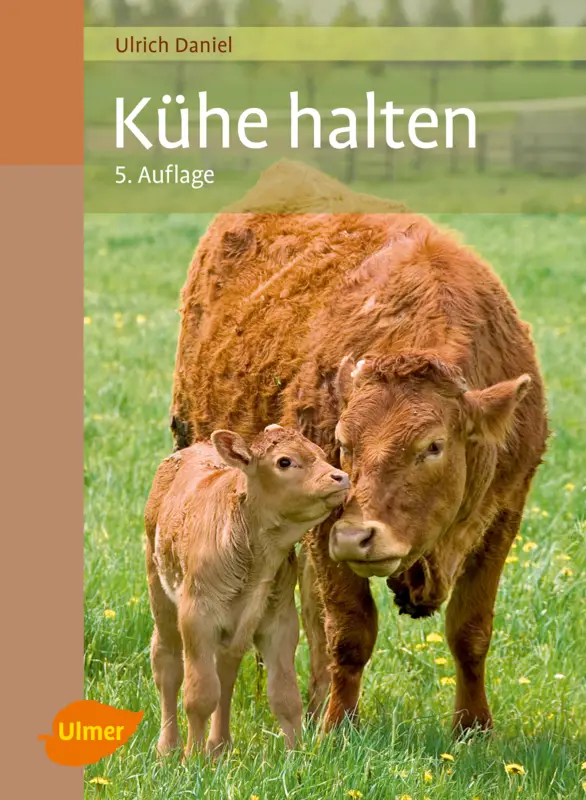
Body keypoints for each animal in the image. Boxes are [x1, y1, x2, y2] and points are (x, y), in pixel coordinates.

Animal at [145, 424, 349, 756]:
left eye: (320, 453)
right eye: (284, 461)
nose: (340, 477)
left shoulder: (280, 622)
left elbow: (285, 697)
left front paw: (296, 757)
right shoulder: (197, 619)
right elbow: (200, 695)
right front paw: (192, 759)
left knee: (226, 671)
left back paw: (219, 746)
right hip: (160, 595)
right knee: (167, 663)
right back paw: (169, 749)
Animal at [169, 168, 548, 734]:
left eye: (433, 446)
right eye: (344, 443)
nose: (356, 537)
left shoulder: (503, 515)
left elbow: (470, 630)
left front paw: (474, 726)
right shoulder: (326, 521)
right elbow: (349, 632)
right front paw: (337, 727)